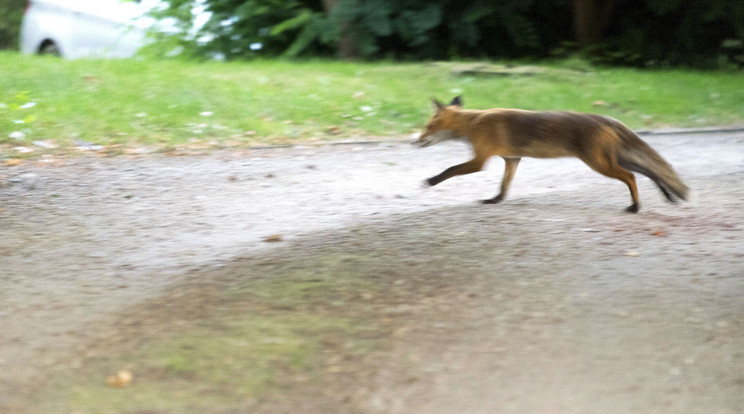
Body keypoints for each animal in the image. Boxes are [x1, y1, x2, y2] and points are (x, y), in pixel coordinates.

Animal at [416, 96, 688, 213]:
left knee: (632, 176)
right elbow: (504, 185)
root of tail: (604, 118)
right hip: (613, 159)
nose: (415, 141)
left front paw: (431, 181)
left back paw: (636, 206)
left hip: (600, 164)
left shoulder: (480, 160)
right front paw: (496, 200)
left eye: (428, 126)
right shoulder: (512, 159)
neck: (474, 122)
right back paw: (667, 196)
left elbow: (450, 170)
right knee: (650, 172)